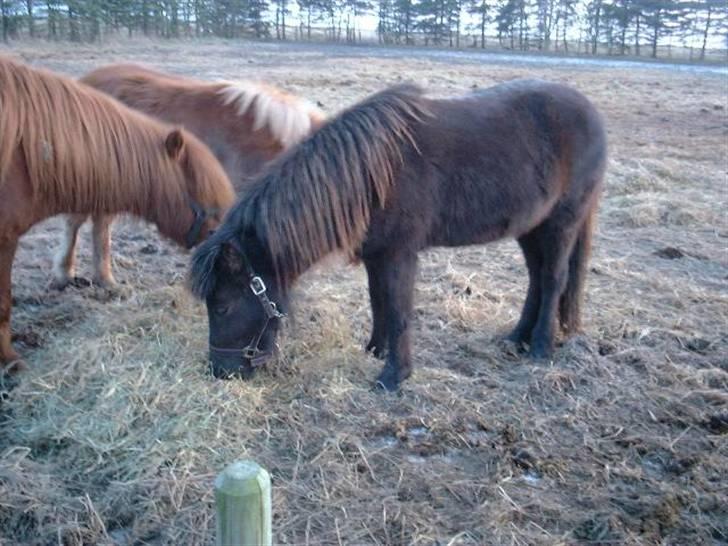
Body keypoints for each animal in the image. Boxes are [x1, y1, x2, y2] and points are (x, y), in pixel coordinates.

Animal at [189, 79, 608, 386]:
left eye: (222, 306)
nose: (221, 372)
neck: (368, 174)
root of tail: (589, 110)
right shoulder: (377, 254)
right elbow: (379, 301)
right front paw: (375, 350)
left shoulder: (400, 254)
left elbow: (399, 309)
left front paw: (394, 376)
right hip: (531, 226)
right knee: (537, 278)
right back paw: (517, 338)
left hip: (562, 222)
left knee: (553, 279)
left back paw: (540, 347)